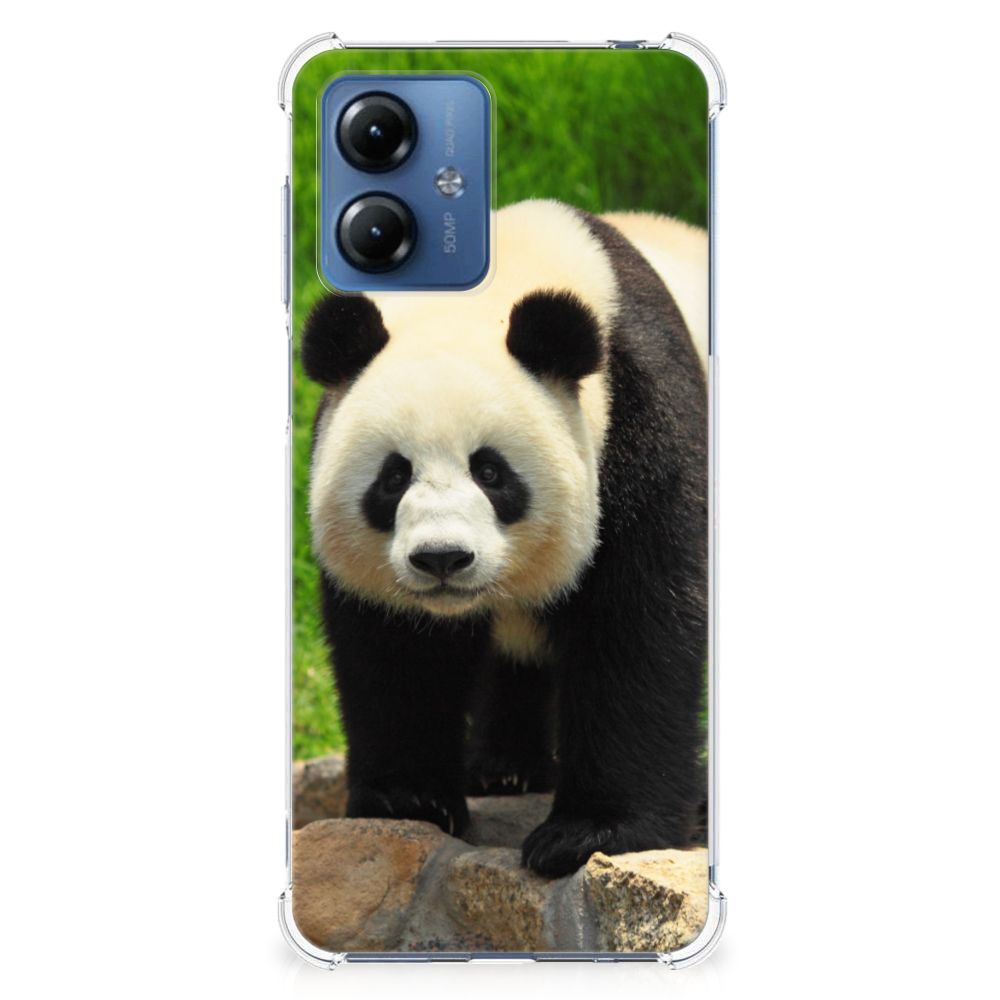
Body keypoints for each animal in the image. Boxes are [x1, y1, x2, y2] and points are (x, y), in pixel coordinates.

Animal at [302, 199, 708, 877]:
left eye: (491, 472)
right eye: (393, 477)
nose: (442, 558)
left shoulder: (643, 422)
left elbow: (639, 624)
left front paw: (590, 833)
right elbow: (396, 650)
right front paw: (408, 800)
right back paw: (504, 769)